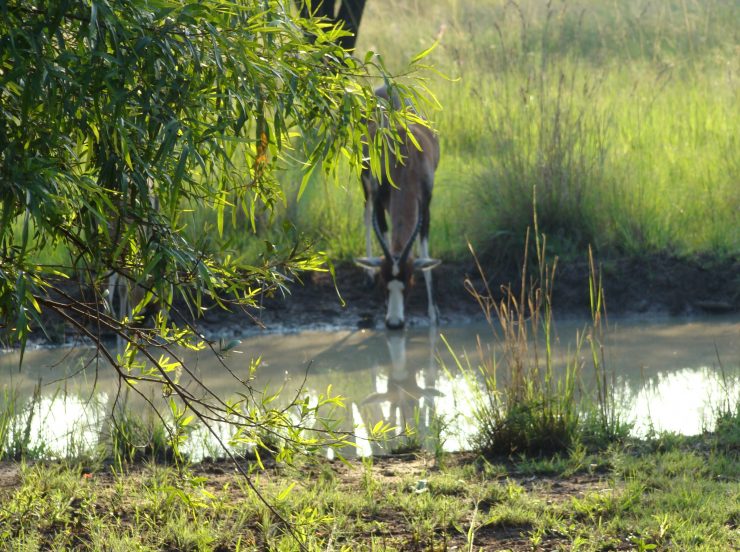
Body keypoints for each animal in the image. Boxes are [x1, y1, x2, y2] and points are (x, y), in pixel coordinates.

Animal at [356, 85, 442, 328]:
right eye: (384, 281)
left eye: (410, 280)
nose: (395, 323)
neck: (407, 156)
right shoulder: (378, 201)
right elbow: (381, 233)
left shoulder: (426, 207)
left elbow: (425, 253)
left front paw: (433, 312)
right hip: (364, 182)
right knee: (365, 215)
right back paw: (366, 275)